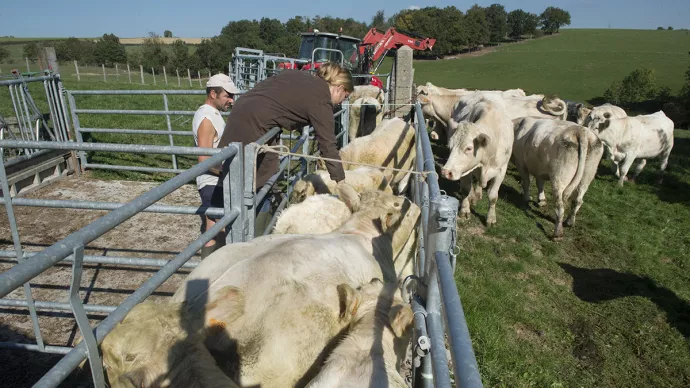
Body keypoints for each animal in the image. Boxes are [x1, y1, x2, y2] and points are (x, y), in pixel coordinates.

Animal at [438, 93, 512, 226]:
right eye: (450, 146)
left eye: (469, 148)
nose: (446, 172)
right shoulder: (464, 170)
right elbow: (466, 189)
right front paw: (465, 210)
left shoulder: (501, 170)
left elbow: (493, 196)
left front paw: (491, 218)